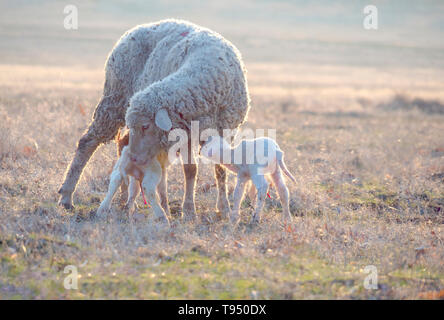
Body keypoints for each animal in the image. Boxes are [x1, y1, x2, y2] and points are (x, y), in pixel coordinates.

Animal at [58, 19, 250, 220]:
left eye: (145, 126)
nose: (135, 159)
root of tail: (134, 30)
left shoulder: (224, 130)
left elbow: (220, 168)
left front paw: (224, 207)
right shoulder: (187, 134)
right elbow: (190, 170)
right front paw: (189, 211)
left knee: (121, 144)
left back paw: (124, 196)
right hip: (114, 100)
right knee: (87, 142)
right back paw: (67, 195)